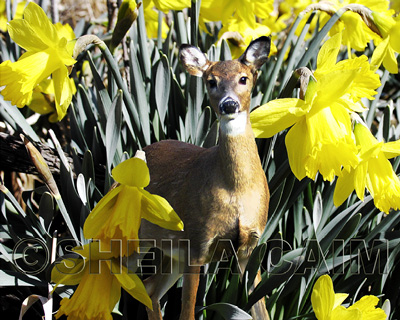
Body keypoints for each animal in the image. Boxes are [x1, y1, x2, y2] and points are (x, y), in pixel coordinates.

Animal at [138, 37, 272, 320]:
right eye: (211, 81)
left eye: (244, 78)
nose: (229, 104)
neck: (237, 191)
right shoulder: (197, 242)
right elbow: (187, 313)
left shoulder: (249, 247)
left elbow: (261, 312)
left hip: (171, 253)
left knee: (149, 287)